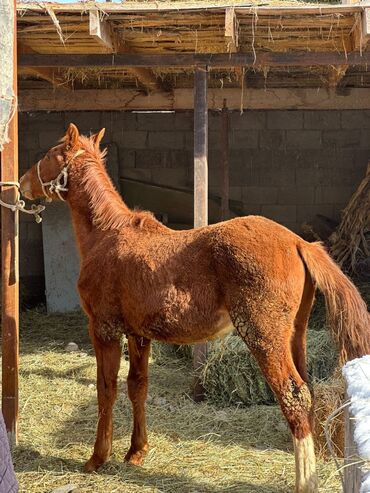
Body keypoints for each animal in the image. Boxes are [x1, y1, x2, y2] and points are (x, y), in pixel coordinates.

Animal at [21, 124, 370, 492]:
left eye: (48, 155)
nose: (23, 183)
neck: (108, 235)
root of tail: (298, 242)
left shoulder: (103, 329)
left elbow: (107, 389)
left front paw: (97, 458)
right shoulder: (138, 334)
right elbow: (137, 386)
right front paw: (136, 452)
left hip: (264, 338)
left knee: (294, 396)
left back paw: (305, 481)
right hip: (294, 336)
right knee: (308, 391)